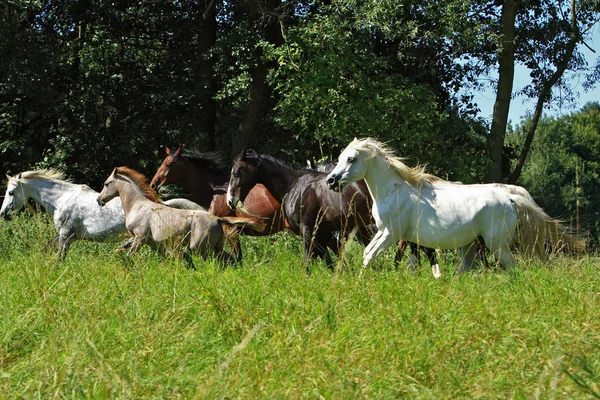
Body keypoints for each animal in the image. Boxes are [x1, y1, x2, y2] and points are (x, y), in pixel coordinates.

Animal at [0, 170, 204, 260]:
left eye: (10, 192)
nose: (3, 214)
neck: (61, 199)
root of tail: (160, 204)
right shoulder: (68, 236)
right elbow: (46, 248)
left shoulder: (65, 235)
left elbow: (59, 258)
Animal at [96, 166, 264, 268]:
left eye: (106, 183)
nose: (99, 200)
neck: (137, 206)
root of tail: (217, 219)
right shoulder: (151, 243)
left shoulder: (140, 238)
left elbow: (129, 255)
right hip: (215, 247)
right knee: (230, 260)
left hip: (200, 248)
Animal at [326, 137, 584, 272]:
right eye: (339, 159)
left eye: (351, 159)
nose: (331, 181)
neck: (393, 190)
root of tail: (510, 198)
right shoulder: (384, 232)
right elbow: (368, 253)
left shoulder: (392, 233)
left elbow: (370, 256)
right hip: (471, 245)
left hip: (496, 244)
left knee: (512, 268)